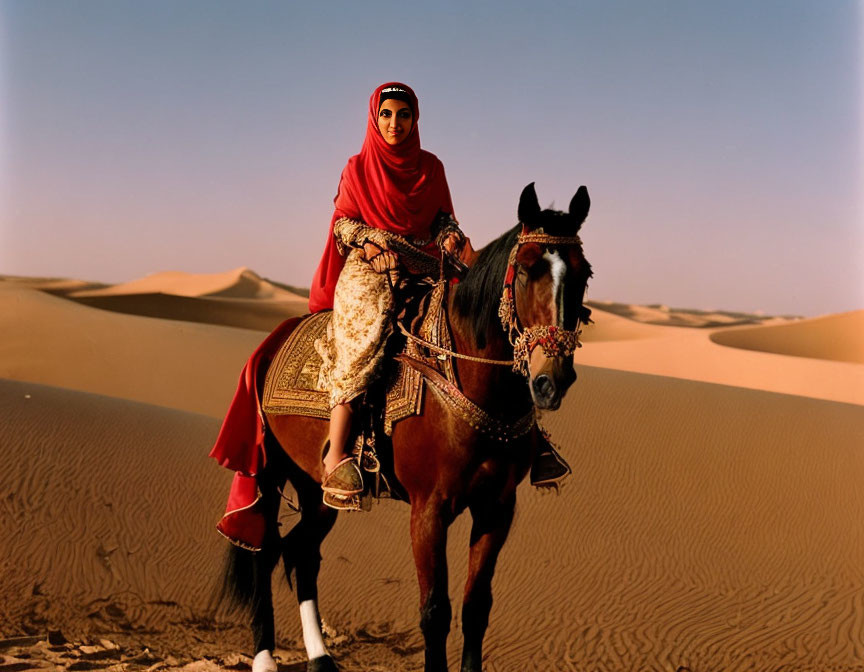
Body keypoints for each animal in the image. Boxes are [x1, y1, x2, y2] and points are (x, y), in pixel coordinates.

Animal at [221, 182, 592, 672]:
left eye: (584, 274)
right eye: (528, 269)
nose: (551, 380)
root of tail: (273, 340)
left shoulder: (497, 508)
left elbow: (476, 607)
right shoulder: (428, 510)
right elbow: (435, 611)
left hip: (317, 488)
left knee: (302, 553)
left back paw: (321, 657)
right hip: (267, 470)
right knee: (264, 552)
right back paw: (265, 658)